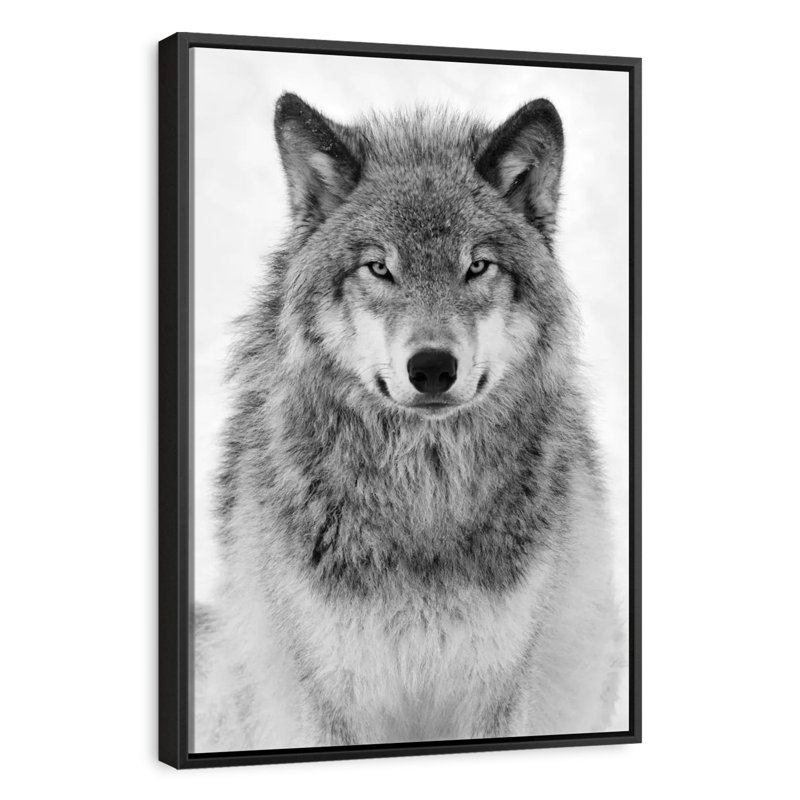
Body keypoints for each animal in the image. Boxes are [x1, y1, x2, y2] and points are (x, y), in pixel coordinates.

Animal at [194, 92, 623, 751]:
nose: (432, 368)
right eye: (379, 268)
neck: (423, 496)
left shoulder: (497, 687)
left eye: (477, 266)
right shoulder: (333, 694)